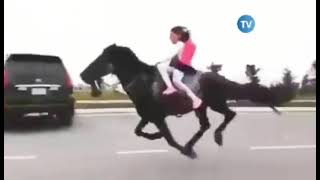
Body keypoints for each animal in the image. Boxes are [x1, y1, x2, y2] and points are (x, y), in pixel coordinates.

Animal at [80, 43, 296, 159]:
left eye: (100, 60)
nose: (82, 75)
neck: (142, 82)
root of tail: (219, 78)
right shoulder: (148, 116)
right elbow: (139, 131)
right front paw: (157, 136)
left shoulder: (157, 117)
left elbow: (169, 139)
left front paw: (183, 150)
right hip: (202, 107)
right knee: (206, 125)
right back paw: (196, 143)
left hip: (215, 103)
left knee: (229, 115)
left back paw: (214, 138)